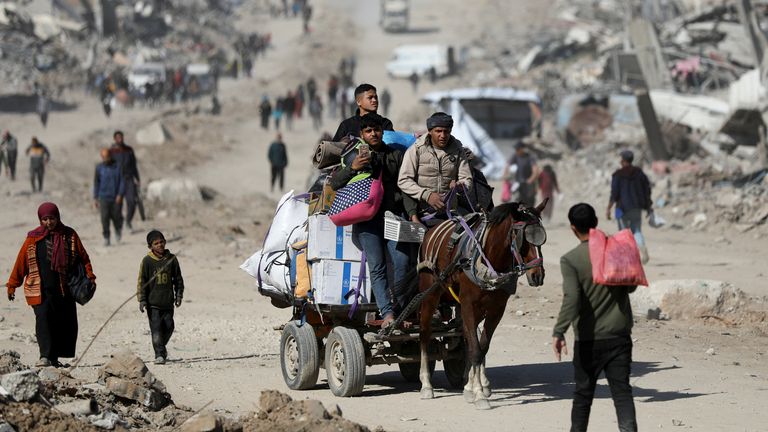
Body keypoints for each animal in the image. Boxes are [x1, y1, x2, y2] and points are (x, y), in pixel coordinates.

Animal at [414, 201, 544, 410]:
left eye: (543, 239)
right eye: (522, 238)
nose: (537, 276)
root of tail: (431, 230)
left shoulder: (496, 310)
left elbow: (481, 346)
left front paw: (473, 388)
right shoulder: (468, 304)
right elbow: (475, 349)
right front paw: (479, 395)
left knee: (468, 336)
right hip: (430, 293)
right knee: (425, 334)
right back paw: (426, 384)